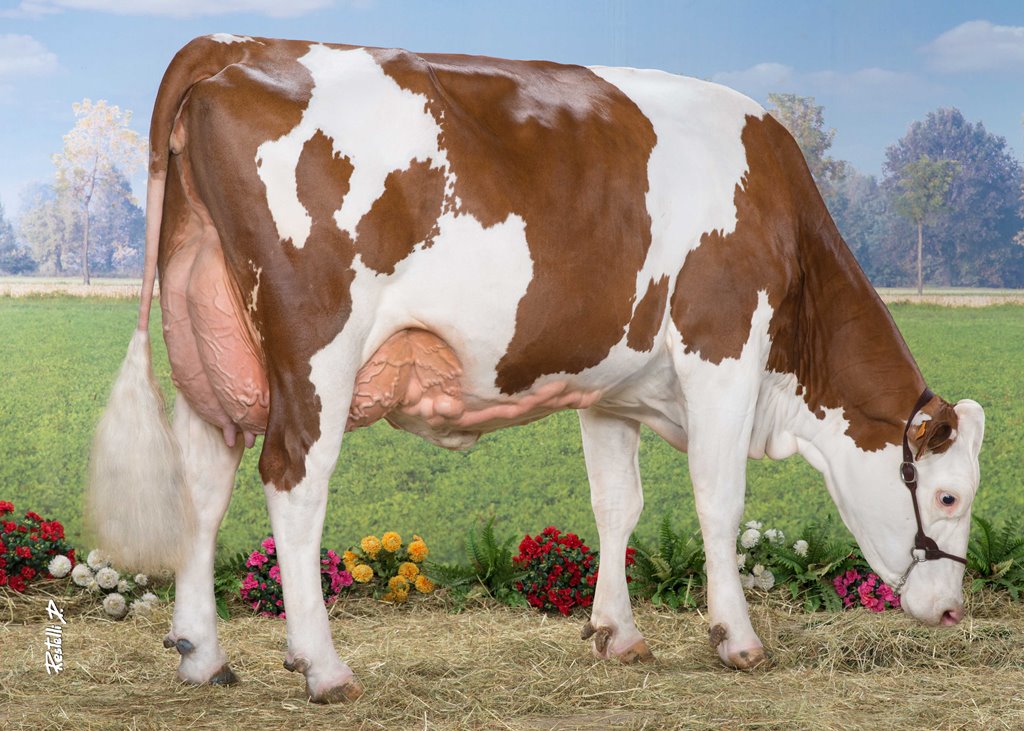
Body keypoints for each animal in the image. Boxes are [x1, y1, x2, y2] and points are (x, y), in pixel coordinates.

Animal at [88, 35, 985, 703]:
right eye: (947, 494)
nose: (950, 611)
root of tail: (234, 44)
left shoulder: (611, 386)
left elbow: (617, 505)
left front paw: (618, 633)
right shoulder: (723, 349)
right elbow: (719, 499)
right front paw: (736, 638)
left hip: (212, 346)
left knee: (203, 483)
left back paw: (202, 653)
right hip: (315, 346)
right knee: (292, 478)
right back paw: (323, 665)